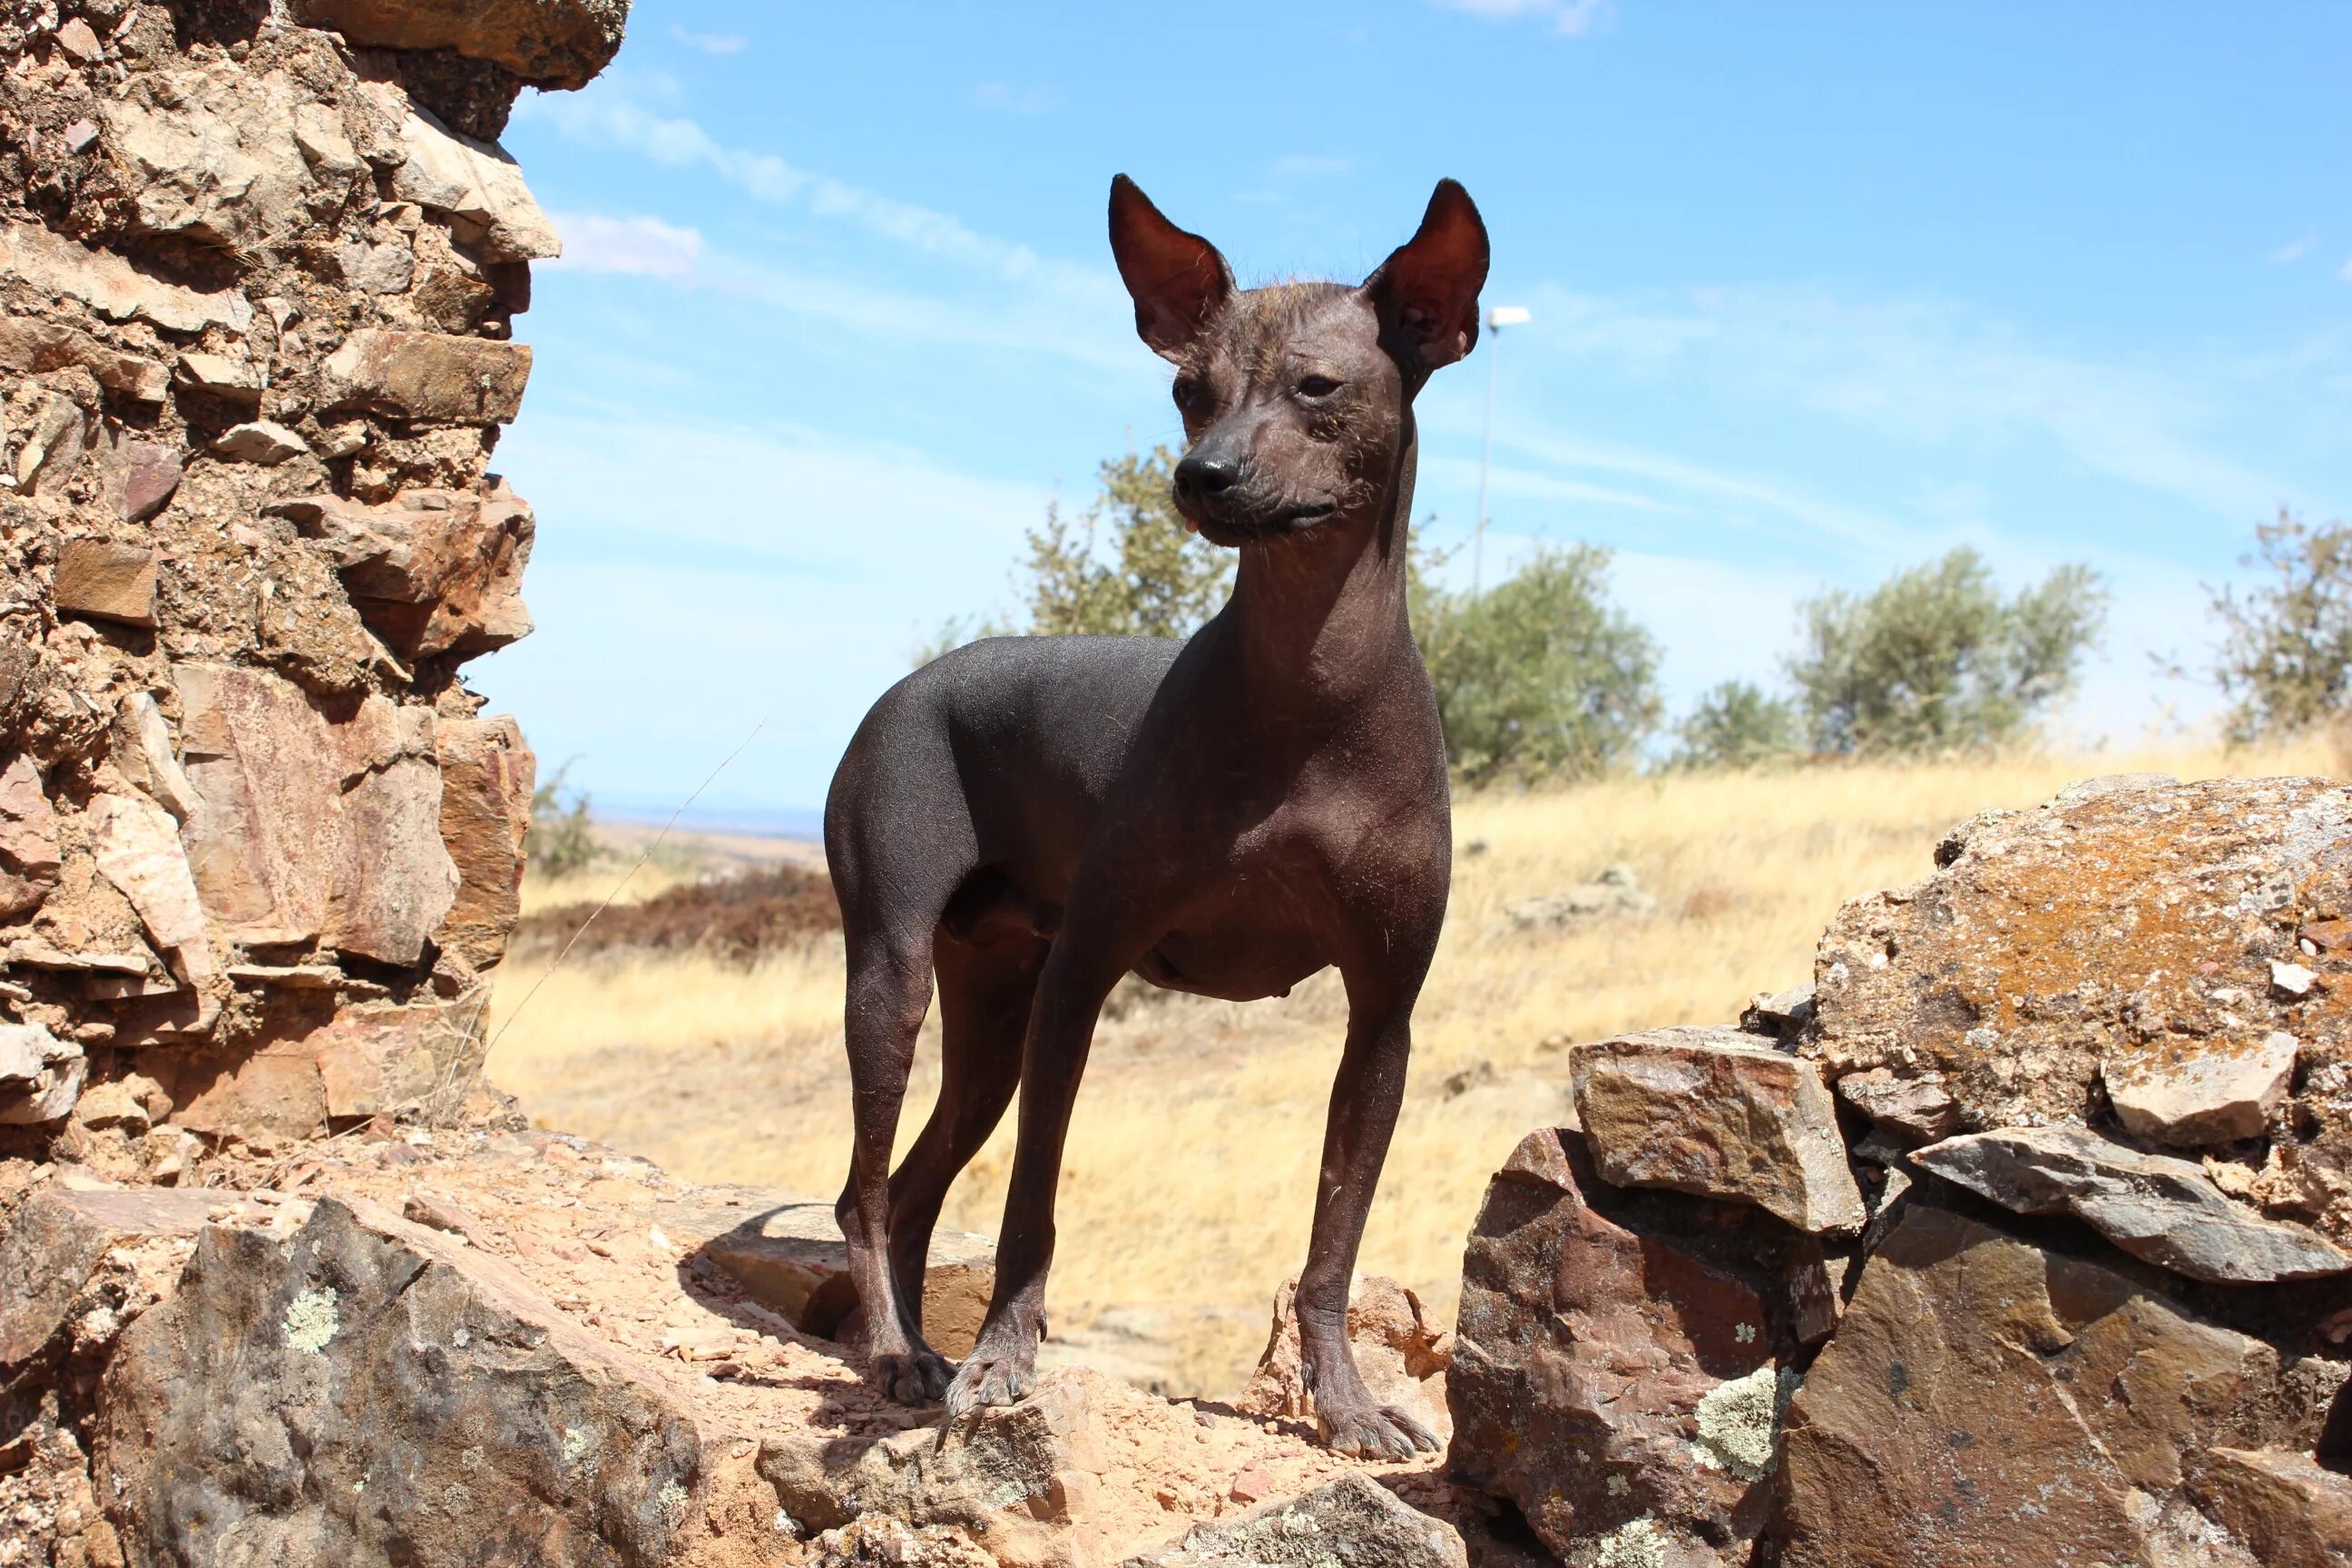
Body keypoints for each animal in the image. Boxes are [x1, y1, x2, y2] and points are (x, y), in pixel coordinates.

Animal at [832, 177, 1486, 1466]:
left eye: (1317, 387)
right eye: (1189, 388)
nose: (1204, 474)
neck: (1306, 692)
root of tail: (914, 684)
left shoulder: (1382, 1019)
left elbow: (1335, 1246)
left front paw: (1344, 1405)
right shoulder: (1083, 979)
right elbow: (1032, 1206)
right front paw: (1002, 1361)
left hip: (992, 1017)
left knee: (917, 1185)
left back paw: (909, 1347)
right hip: (895, 977)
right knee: (868, 1190)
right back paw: (896, 1354)